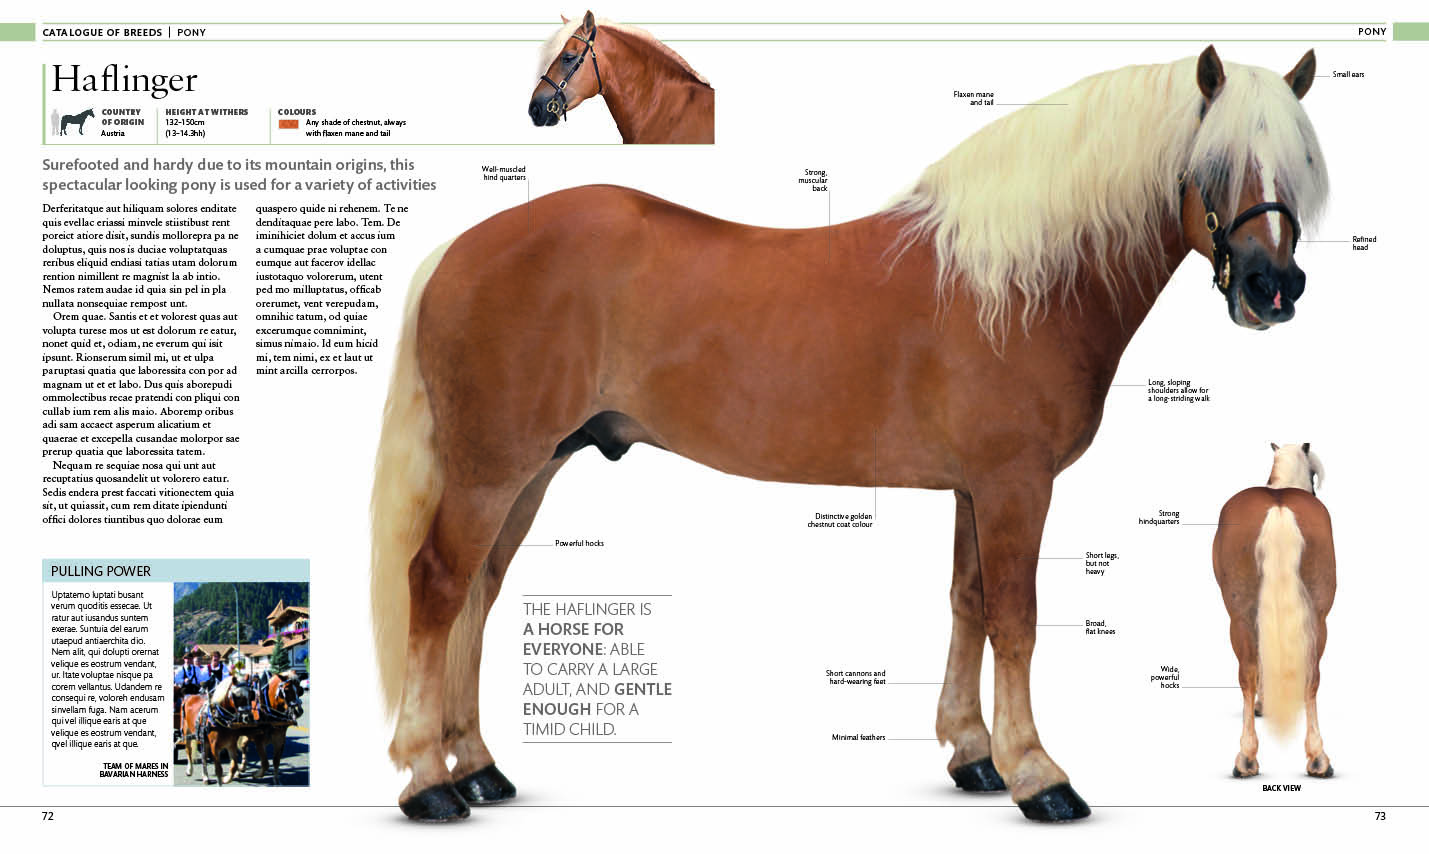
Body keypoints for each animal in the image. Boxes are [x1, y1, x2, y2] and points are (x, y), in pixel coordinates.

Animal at [1212, 443, 1334, 780]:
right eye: (1314, 474)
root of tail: (1278, 507)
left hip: (1239, 618)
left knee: (1248, 673)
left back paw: (1246, 758)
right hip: (1317, 618)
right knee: (1312, 676)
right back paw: (1318, 758)